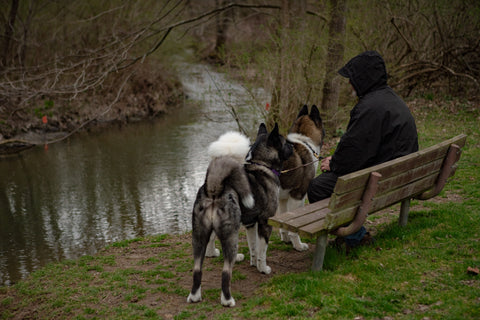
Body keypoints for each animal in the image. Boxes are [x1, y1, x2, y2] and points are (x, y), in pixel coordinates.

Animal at [276, 105, 324, 250]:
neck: (305, 142)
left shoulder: (283, 199)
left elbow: (283, 222)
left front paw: (286, 239)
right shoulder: (298, 196)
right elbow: (293, 228)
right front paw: (297, 245)